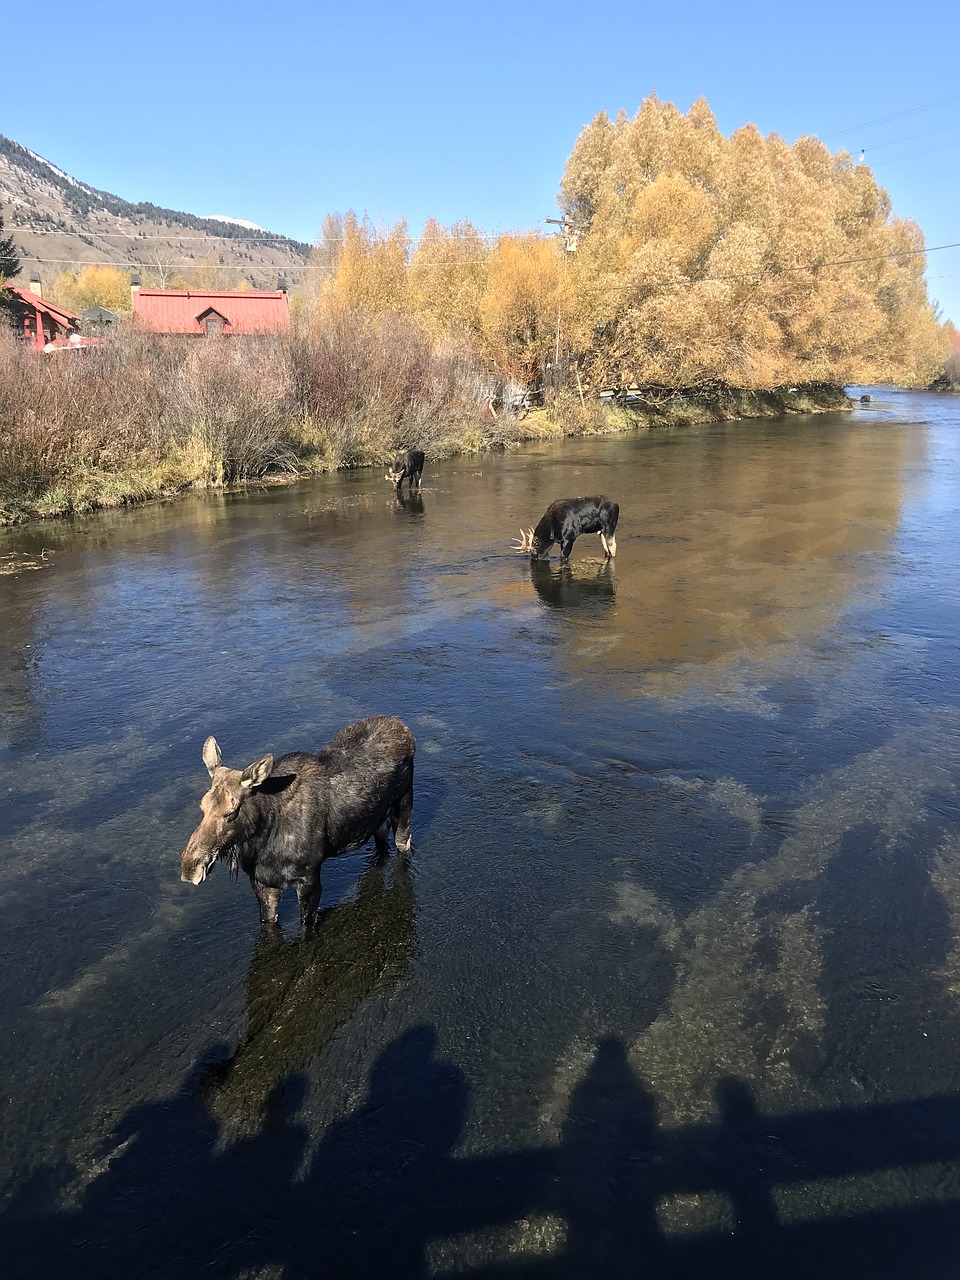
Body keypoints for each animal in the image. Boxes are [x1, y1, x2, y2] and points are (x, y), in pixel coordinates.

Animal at [181, 716, 414, 926]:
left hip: (404, 804)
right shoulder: (261, 882)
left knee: (403, 844)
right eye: (202, 806)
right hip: (377, 820)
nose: (190, 867)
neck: (263, 840)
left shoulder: (308, 878)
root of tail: (404, 728)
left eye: (231, 812)